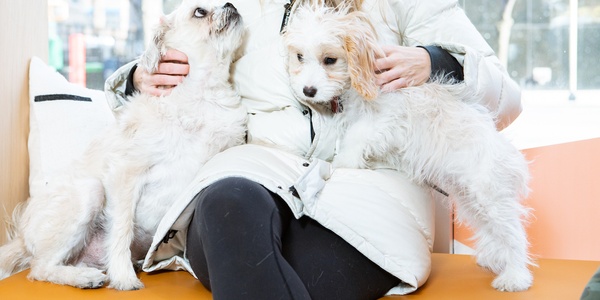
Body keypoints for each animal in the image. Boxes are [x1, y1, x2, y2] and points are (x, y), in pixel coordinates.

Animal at [0, 0, 246, 290]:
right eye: (199, 11)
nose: (231, 4)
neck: (201, 98)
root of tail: (23, 239)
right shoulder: (125, 173)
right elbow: (121, 229)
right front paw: (124, 277)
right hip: (91, 193)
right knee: (40, 268)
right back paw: (85, 277)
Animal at [284, 5, 532, 292]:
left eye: (330, 60)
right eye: (300, 57)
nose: (308, 90)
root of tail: (511, 159)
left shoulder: (385, 117)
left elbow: (356, 138)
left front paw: (343, 163)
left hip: (490, 198)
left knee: (513, 233)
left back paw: (515, 276)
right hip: (470, 200)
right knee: (492, 230)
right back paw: (494, 258)